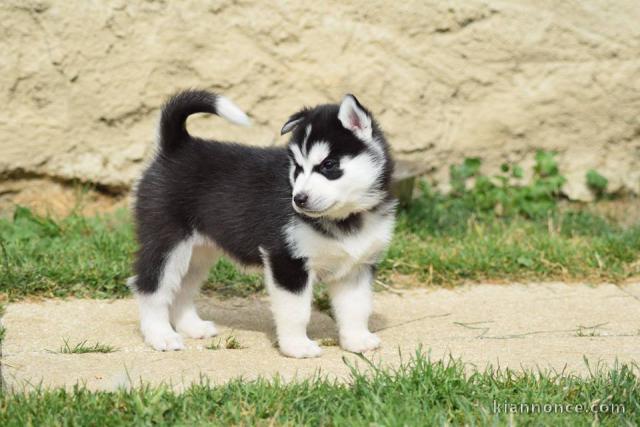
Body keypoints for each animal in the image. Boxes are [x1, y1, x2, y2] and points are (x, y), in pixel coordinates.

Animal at [130, 90, 396, 358]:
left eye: (328, 165)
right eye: (297, 168)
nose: (298, 199)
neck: (343, 218)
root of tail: (177, 146)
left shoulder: (356, 267)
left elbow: (356, 308)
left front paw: (357, 340)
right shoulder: (287, 261)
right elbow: (296, 311)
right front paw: (296, 346)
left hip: (197, 254)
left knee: (182, 289)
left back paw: (192, 327)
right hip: (167, 242)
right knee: (151, 288)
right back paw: (160, 335)